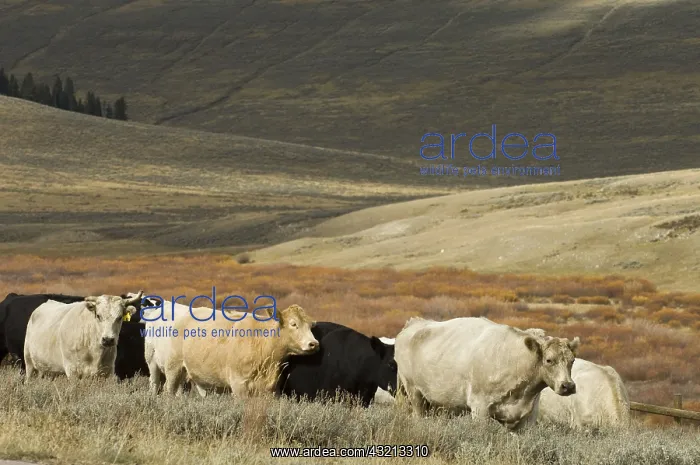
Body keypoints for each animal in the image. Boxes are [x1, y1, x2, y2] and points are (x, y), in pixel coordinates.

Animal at [394, 316, 580, 431]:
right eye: (549, 360)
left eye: (572, 360)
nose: (568, 386)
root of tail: (413, 324)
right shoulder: (479, 408)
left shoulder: (528, 416)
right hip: (414, 393)